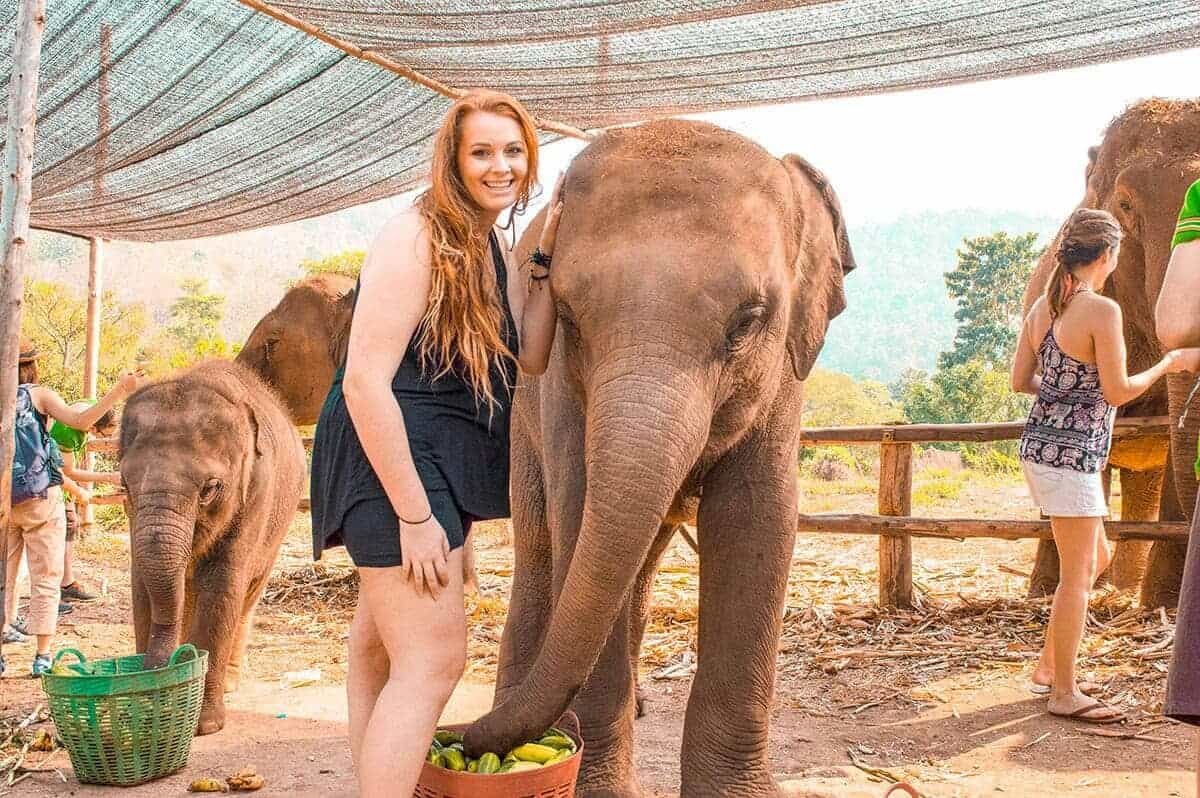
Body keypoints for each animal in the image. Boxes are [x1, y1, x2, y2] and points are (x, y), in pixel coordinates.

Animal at [119, 359, 306, 735]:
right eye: (123, 484)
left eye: (209, 488)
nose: (158, 673)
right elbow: (141, 585)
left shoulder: (256, 494)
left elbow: (222, 588)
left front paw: (203, 725)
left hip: (277, 531)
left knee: (247, 596)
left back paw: (229, 682)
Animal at [461, 119, 855, 798]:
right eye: (568, 316)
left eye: (750, 320)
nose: (462, 740)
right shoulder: (559, 382)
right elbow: (579, 512)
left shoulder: (786, 378)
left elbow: (756, 521)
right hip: (519, 423)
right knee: (541, 548)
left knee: (639, 558)